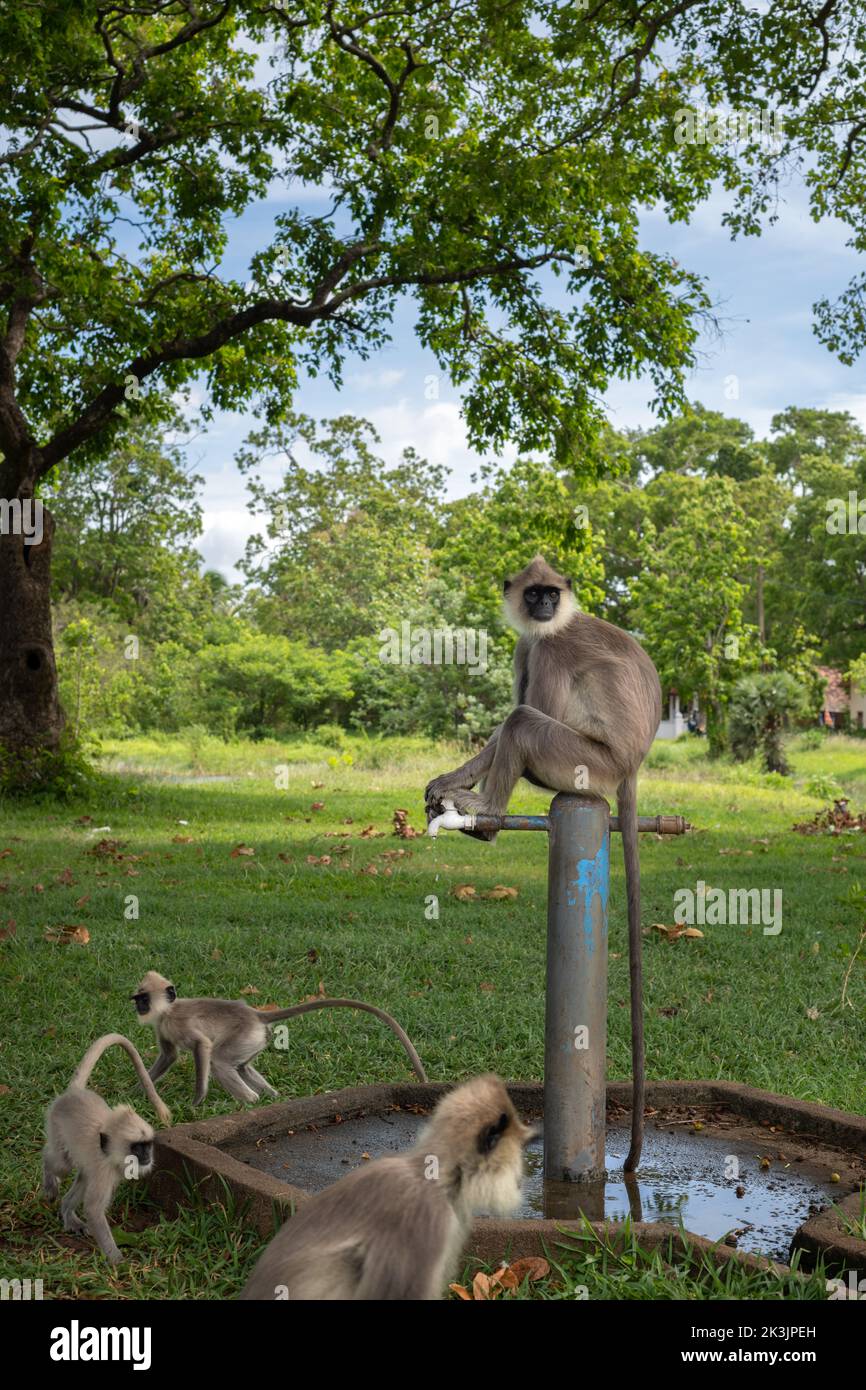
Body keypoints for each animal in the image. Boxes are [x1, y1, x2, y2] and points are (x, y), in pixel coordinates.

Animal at [42, 1034, 171, 1265]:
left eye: (147, 1145)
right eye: (138, 1148)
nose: (147, 1156)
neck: (110, 1153)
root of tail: (74, 1093)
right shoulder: (104, 1171)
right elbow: (94, 1210)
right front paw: (117, 1261)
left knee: (83, 1176)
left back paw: (68, 1214)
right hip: (56, 1128)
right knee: (60, 1163)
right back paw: (50, 1181)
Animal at [131, 971, 427, 1105]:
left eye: (144, 999)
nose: (138, 1008)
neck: (167, 1010)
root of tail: (253, 1013)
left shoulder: (176, 1022)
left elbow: (202, 1046)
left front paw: (196, 1102)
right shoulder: (162, 1027)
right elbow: (168, 1055)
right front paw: (137, 1089)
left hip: (243, 1035)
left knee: (219, 1061)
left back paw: (251, 1102)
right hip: (252, 1039)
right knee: (241, 1066)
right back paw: (273, 1097)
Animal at [425, 556, 662, 1172]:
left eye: (551, 594)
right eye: (533, 593)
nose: (544, 608)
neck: (551, 627)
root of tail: (632, 765)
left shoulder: (550, 649)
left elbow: (527, 712)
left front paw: (467, 791)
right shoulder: (527, 646)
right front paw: (452, 780)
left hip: (586, 763)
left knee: (525, 721)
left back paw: (487, 816)